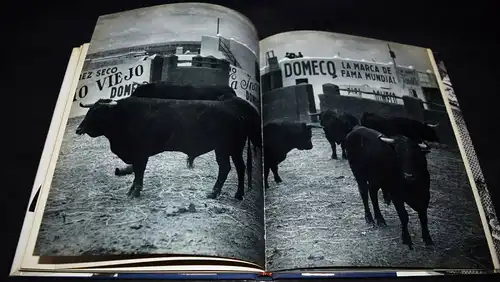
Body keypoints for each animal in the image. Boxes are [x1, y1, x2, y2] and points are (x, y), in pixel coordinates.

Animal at [75, 96, 262, 202]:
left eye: (97, 113)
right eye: (89, 111)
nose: (79, 129)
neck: (124, 116)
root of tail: (231, 104)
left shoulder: (140, 154)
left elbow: (139, 173)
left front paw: (135, 191)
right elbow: (136, 173)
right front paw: (132, 190)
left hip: (226, 148)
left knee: (229, 168)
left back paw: (220, 193)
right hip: (230, 149)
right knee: (236, 168)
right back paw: (233, 194)